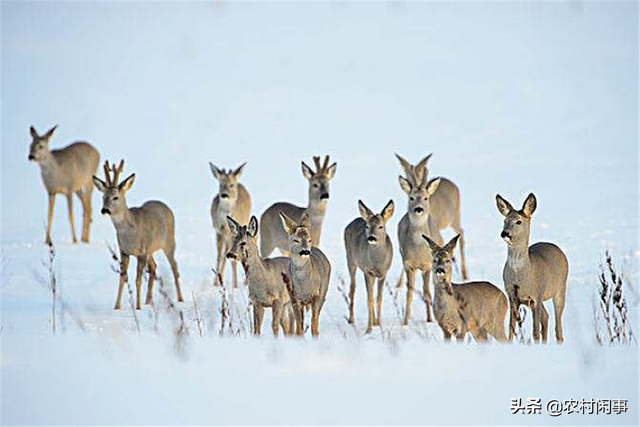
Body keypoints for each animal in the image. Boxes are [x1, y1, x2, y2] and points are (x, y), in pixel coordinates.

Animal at [92, 160, 184, 310]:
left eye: (116, 197)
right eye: (103, 197)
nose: (104, 210)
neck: (129, 234)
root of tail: (166, 206)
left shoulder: (141, 252)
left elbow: (138, 280)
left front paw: (138, 307)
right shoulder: (124, 251)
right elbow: (122, 277)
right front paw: (117, 306)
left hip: (169, 242)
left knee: (174, 267)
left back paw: (180, 298)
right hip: (151, 250)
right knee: (154, 267)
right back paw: (148, 301)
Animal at [344, 199, 396, 332]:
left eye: (380, 226)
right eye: (367, 226)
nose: (371, 237)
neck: (377, 262)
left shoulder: (383, 273)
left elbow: (378, 298)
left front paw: (379, 324)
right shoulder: (368, 271)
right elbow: (370, 299)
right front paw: (369, 329)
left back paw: (374, 320)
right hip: (350, 258)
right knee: (353, 287)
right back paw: (351, 319)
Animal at [396, 169, 440, 326]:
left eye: (426, 198)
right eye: (412, 198)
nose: (419, 209)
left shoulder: (427, 265)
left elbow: (427, 292)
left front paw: (430, 319)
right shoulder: (409, 265)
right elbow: (409, 293)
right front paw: (405, 321)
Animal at [498, 194, 568, 344]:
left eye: (519, 221)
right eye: (504, 220)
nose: (504, 233)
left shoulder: (536, 295)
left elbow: (535, 331)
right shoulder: (513, 296)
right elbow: (511, 329)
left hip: (560, 289)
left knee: (558, 326)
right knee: (546, 317)